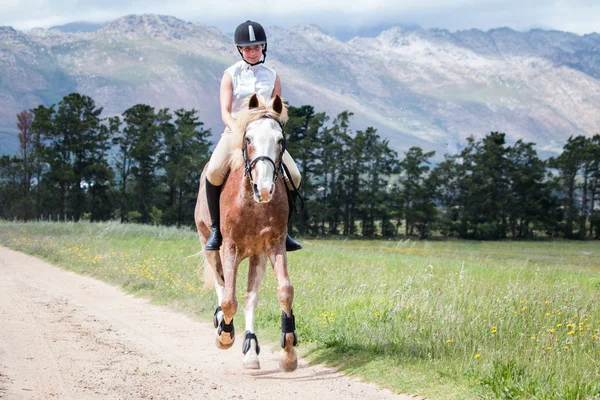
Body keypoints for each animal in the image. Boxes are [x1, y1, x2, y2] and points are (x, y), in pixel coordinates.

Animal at [196, 94, 298, 372]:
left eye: (280, 140)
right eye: (248, 138)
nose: (264, 188)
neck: (253, 202)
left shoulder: (274, 244)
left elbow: (284, 291)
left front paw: (288, 352)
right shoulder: (229, 247)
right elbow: (229, 299)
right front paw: (224, 336)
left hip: (256, 254)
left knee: (250, 297)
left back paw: (251, 349)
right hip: (209, 244)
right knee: (222, 285)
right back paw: (223, 325)